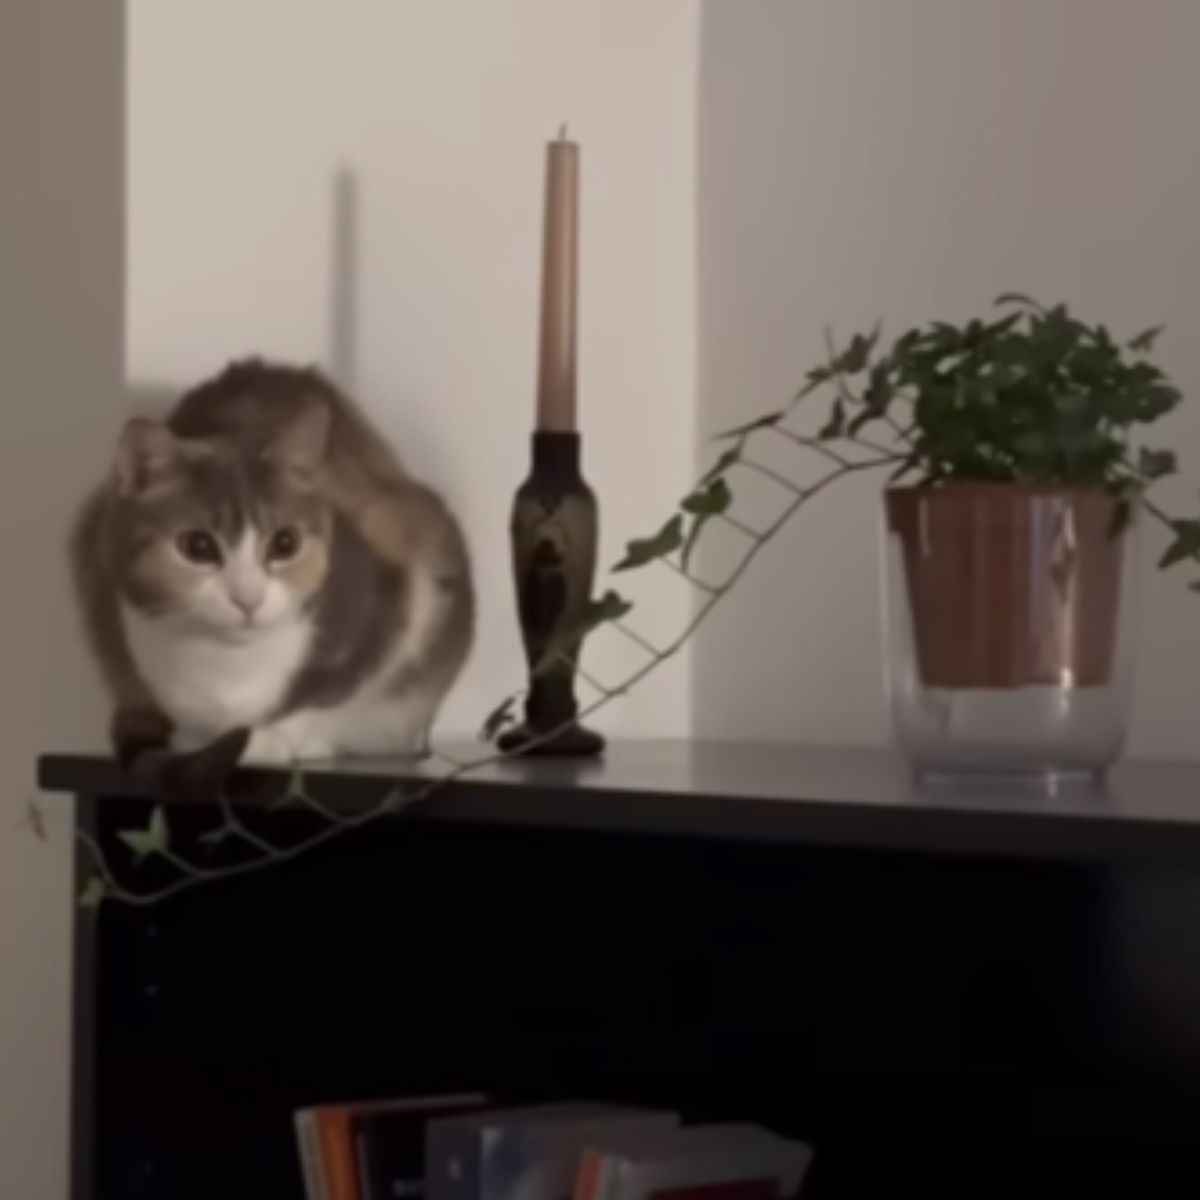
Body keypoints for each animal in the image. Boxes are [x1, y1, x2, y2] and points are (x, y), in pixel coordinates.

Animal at [69, 362, 472, 777]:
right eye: (198, 547)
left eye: (285, 543)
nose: (248, 598)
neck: (226, 667)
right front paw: (195, 740)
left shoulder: (390, 598)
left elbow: (321, 696)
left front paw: (268, 740)